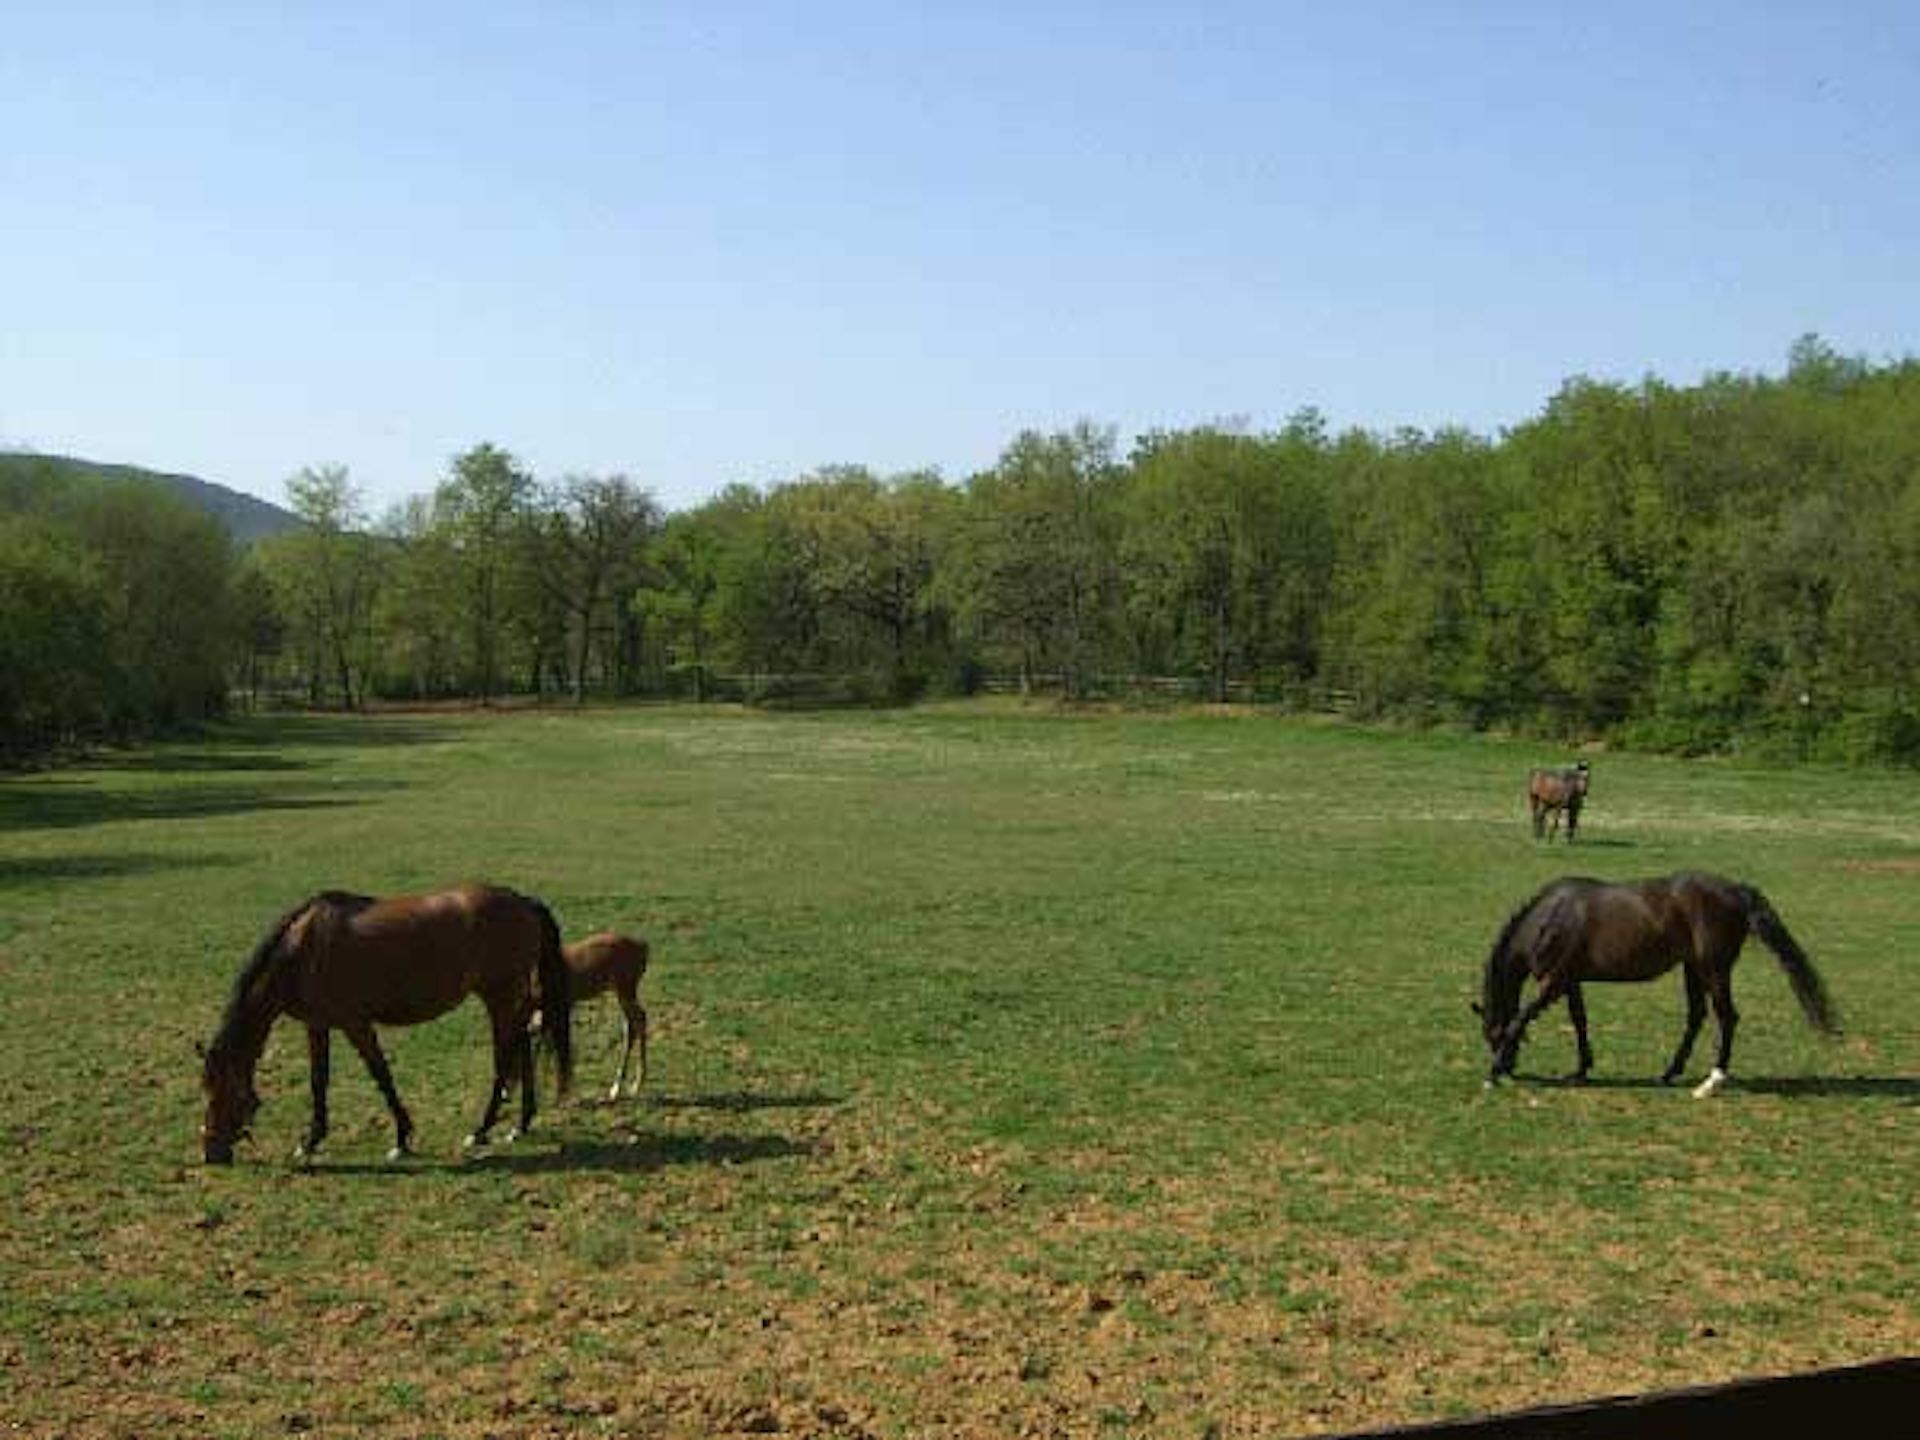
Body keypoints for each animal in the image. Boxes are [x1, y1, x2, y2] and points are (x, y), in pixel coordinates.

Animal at [206, 887, 576, 1167]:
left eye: (220, 1092)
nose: (211, 1154)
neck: (302, 949)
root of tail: (523, 902)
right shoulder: (318, 1025)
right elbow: (318, 1081)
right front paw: (311, 1140)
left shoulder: (355, 1023)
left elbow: (381, 1074)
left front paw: (401, 1138)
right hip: (509, 999)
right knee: (522, 1046)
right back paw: (521, 1124)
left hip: (499, 996)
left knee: (505, 1057)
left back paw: (481, 1130)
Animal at [1474, 875, 1835, 1098]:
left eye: (1493, 1035)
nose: (1510, 1069)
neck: (1551, 919)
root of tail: (1735, 890)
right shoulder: (1571, 981)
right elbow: (1579, 1021)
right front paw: (1581, 1069)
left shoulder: (1553, 983)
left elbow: (1521, 1018)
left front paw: (1491, 1074)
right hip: (1693, 969)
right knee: (1697, 1016)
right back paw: (1670, 1072)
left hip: (1714, 970)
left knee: (1726, 1017)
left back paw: (1711, 1082)